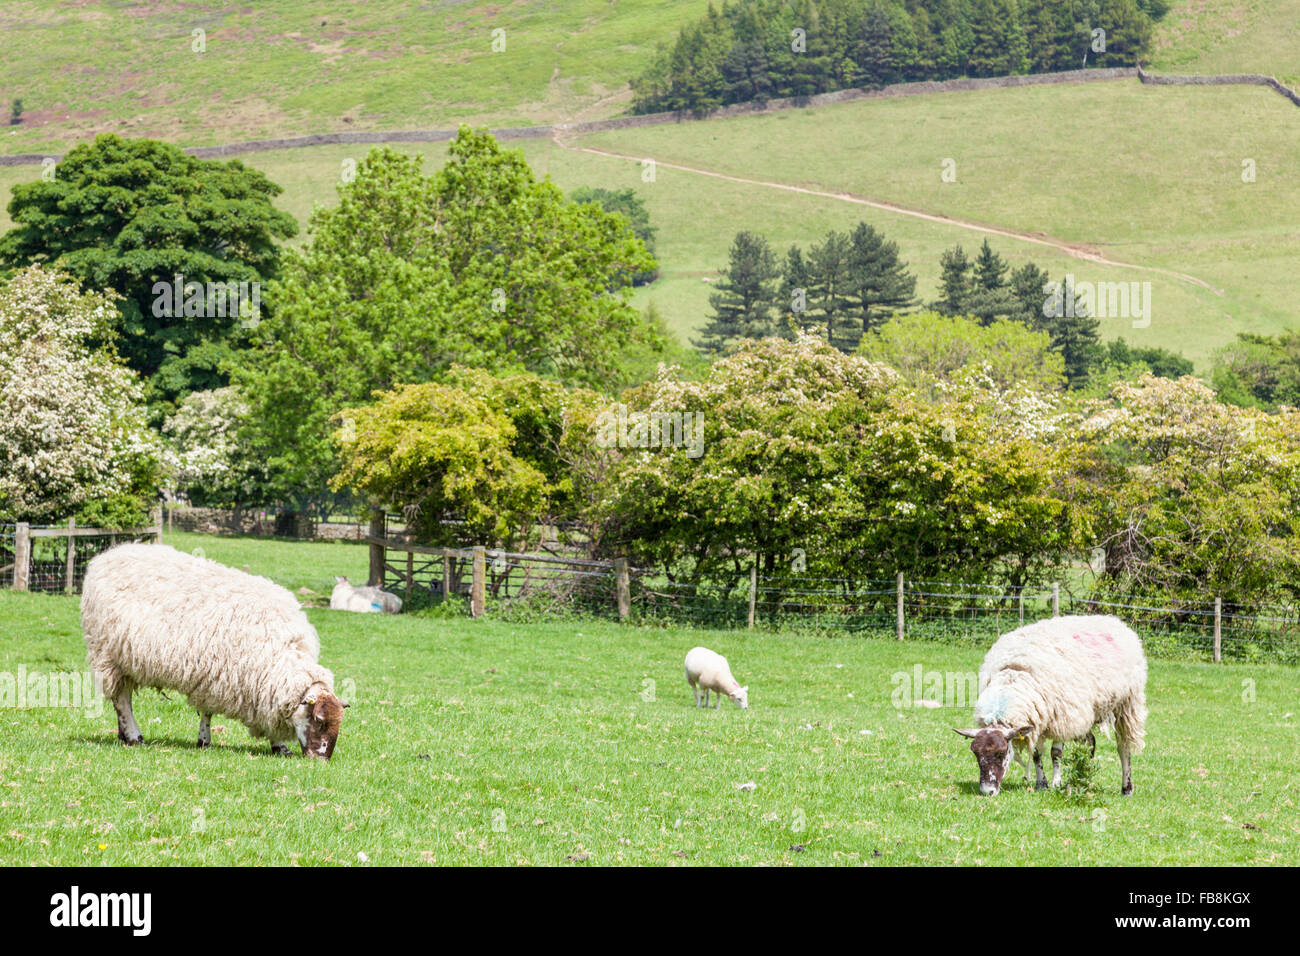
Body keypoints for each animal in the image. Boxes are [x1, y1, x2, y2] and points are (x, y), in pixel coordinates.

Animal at [79, 546, 348, 764]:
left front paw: (279, 746)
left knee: (123, 698)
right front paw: (205, 741)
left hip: (126, 660)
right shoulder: (215, 676)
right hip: (109, 654)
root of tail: (104, 558)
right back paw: (136, 737)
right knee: (121, 700)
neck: (280, 658)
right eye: (319, 720)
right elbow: (208, 712)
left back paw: (124, 735)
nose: (322, 760)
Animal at [956, 616, 1149, 796]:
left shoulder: (1062, 716)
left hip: (1126, 705)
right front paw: (1041, 784)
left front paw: (1056, 784)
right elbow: (1036, 754)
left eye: (1001, 753)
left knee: (1123, 748)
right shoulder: (1037, 719)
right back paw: (1082, 776)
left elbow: (1056, 753)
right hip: (1087, 711)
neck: (1014, 677)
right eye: (976, 754)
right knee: (1090, 742)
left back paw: (1126, 788)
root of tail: (1114, 620)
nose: (987, 791)